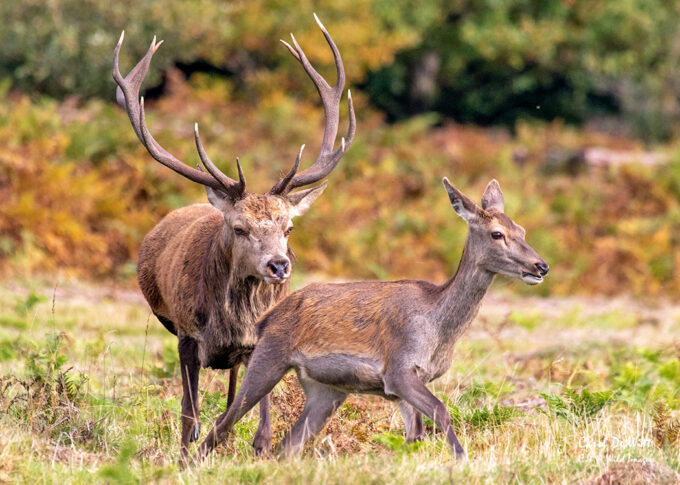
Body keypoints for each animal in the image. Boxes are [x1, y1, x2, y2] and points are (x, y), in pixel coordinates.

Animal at [112, 14, 355, 461]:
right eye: (239, 228)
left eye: (288, 227)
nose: (279, 265)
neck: (229, 324)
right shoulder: (186, 334)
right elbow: (189, 413)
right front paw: (186, 457)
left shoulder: (262, 342)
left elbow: (251, 414)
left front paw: (257, 449)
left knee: (230, 394)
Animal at [191, 177, 549, 462]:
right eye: (497, 234)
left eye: (522, 229)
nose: (541, 266)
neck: (438, 330)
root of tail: (265, 319)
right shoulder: (399, 367)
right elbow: (441, 411)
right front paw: (462, 461)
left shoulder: (404, 385)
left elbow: (414, 435)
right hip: (268, 357)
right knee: (222, 424)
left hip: (325, 390)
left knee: (287, 445)